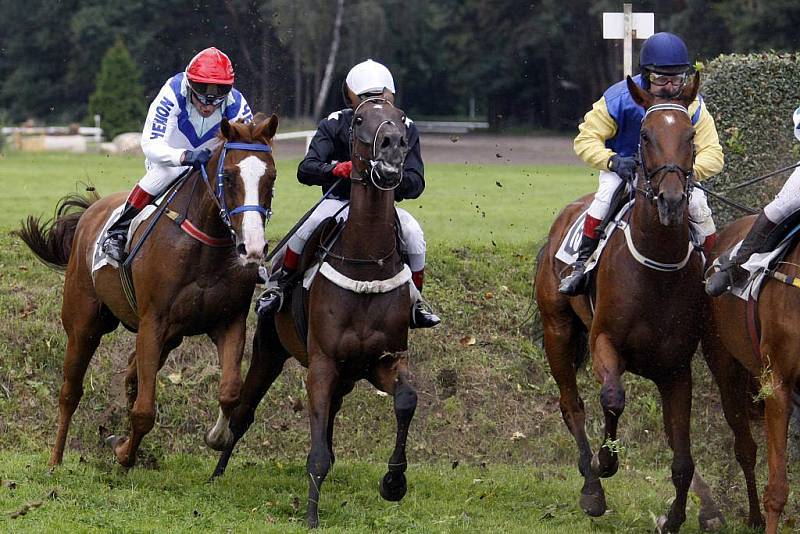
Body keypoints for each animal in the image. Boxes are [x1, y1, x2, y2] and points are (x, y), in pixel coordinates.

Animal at [14, 116, 280, 468]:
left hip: (169, 338)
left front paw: (216, 436)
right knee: (70, 392)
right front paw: (124, 453)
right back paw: (56, 460)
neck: (204, 246)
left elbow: (230, 391)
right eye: (229, 176)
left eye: (271, 177)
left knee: (131, 376)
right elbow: (144, 411)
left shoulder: (228, 320)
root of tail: (91, 212)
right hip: (84, 323)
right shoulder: (153, 323)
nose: (253, 247)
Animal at [208, 98, 418, 528]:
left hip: (346, 376)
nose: (392, 146)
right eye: (359, 119)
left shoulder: (384, 360)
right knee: (243, 413)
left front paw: (394, 482)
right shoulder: (322, 363)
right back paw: (218, 471)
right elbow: (316, 450)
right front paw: (311, 515)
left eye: (399, 116)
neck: (366, 266)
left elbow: (407, 399)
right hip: (270, 352)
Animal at [536, 74, 716, 532]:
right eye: (646, 135)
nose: (671, 200)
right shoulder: (605, 342)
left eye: (690, 136)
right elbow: (613, 398)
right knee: (572, 405)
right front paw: (606, 463)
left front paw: (676, 517)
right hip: (557, 328)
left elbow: (682, 454)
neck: (658, 268)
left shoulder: (676, 368)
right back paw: (591, 487)